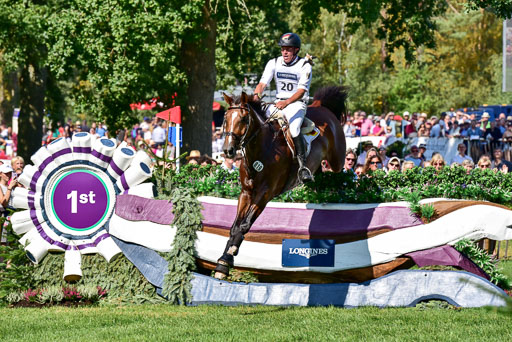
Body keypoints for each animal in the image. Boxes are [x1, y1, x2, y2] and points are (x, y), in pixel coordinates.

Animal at [212, 86, 348, 280]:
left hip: (337, 160)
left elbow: (244, 225)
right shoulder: (246, 192)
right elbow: (234, 226)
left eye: (244, 119)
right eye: (225, 119)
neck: (260, 152)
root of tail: (321, 106)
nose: (228, 150)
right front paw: (223, 262)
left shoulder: (265, 194)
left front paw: (229, 257)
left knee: (340, 169)